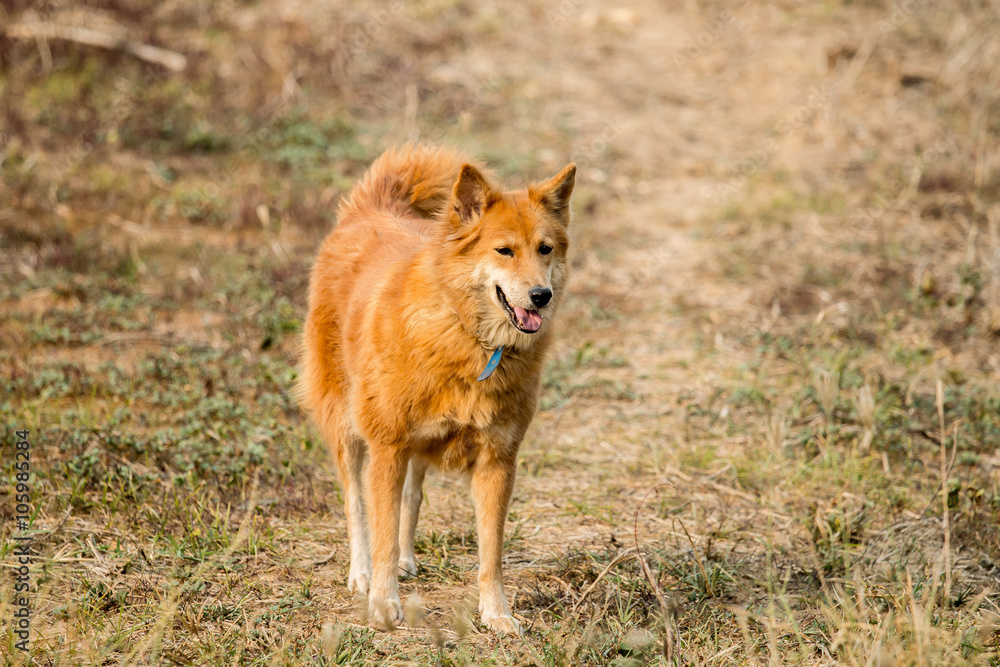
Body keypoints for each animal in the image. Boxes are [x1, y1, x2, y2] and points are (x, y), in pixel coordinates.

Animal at [296, 144, 576, 636]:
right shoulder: (387, 447)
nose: (540, 295)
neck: (467, 337)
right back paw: (361, 573)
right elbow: (380, 531)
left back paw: (407, 559)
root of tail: (373, 208)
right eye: (504, 250)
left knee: (411, 495)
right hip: (346, 424)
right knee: (355, 503)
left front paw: (497, 614)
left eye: (545, 249)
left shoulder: (497, 462)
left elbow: (491, 553)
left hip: (418, 444)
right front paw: (383, 605)